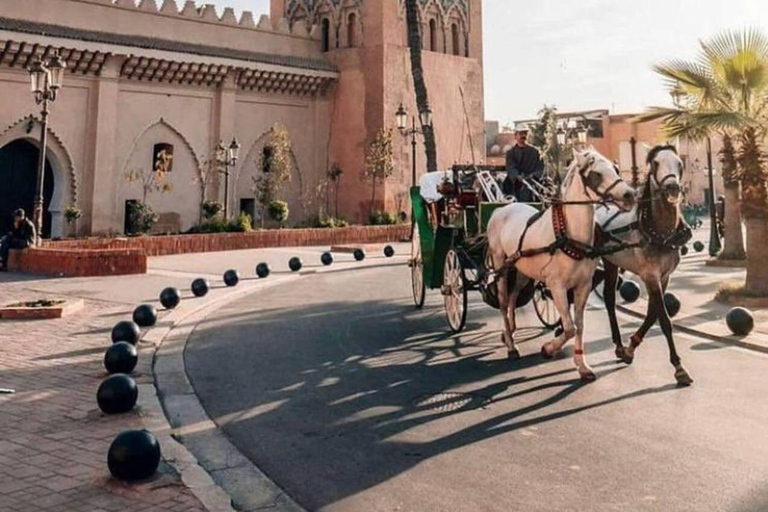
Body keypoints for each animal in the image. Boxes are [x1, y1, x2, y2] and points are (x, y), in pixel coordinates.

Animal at [488, 148, 632, 380]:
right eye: (596, 174)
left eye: (615, 168)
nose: (630, 195)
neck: (569, 234)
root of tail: (500, 210)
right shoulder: (557, 286)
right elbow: (570, 327)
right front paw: (548, 349)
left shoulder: (583, 286)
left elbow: (579, 325)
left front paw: (582, 365)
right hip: (501, 264)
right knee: (502, 301)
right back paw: (511, 345)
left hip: (522, 270)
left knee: (513, 297)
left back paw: (509, 331)